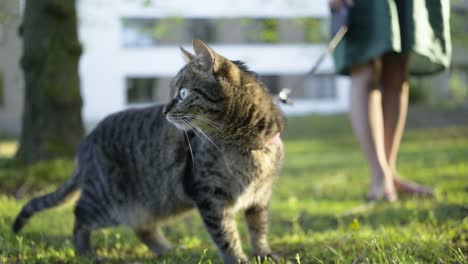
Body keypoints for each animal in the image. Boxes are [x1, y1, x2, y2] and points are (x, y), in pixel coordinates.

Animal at [12, 38, 286, 262]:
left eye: (183, 93)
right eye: (173, 92)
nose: (164, 110)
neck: (247, 143)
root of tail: (87, 140)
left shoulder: (261, 196)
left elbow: (259, 229)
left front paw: (263, 254)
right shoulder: (210, 196)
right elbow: (226, 235)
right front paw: (238, 258)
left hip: (150, 202)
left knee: (142, 227)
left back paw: (168, 250)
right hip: (108, 200)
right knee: (80, 215)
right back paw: (86, 253)